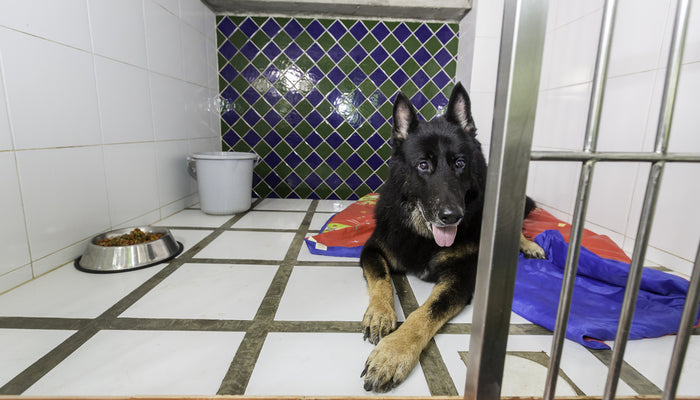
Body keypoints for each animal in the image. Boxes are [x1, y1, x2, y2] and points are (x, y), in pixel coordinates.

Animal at [358, 83, 544, 392]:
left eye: (459, 163)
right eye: (423, 165)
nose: (452, 216)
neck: (424, 236)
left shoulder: (461, 279)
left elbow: (425, 312)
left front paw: (393, 353)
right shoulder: (373, 249)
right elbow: (381, 278)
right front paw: (381, 314)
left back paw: (529, 244)